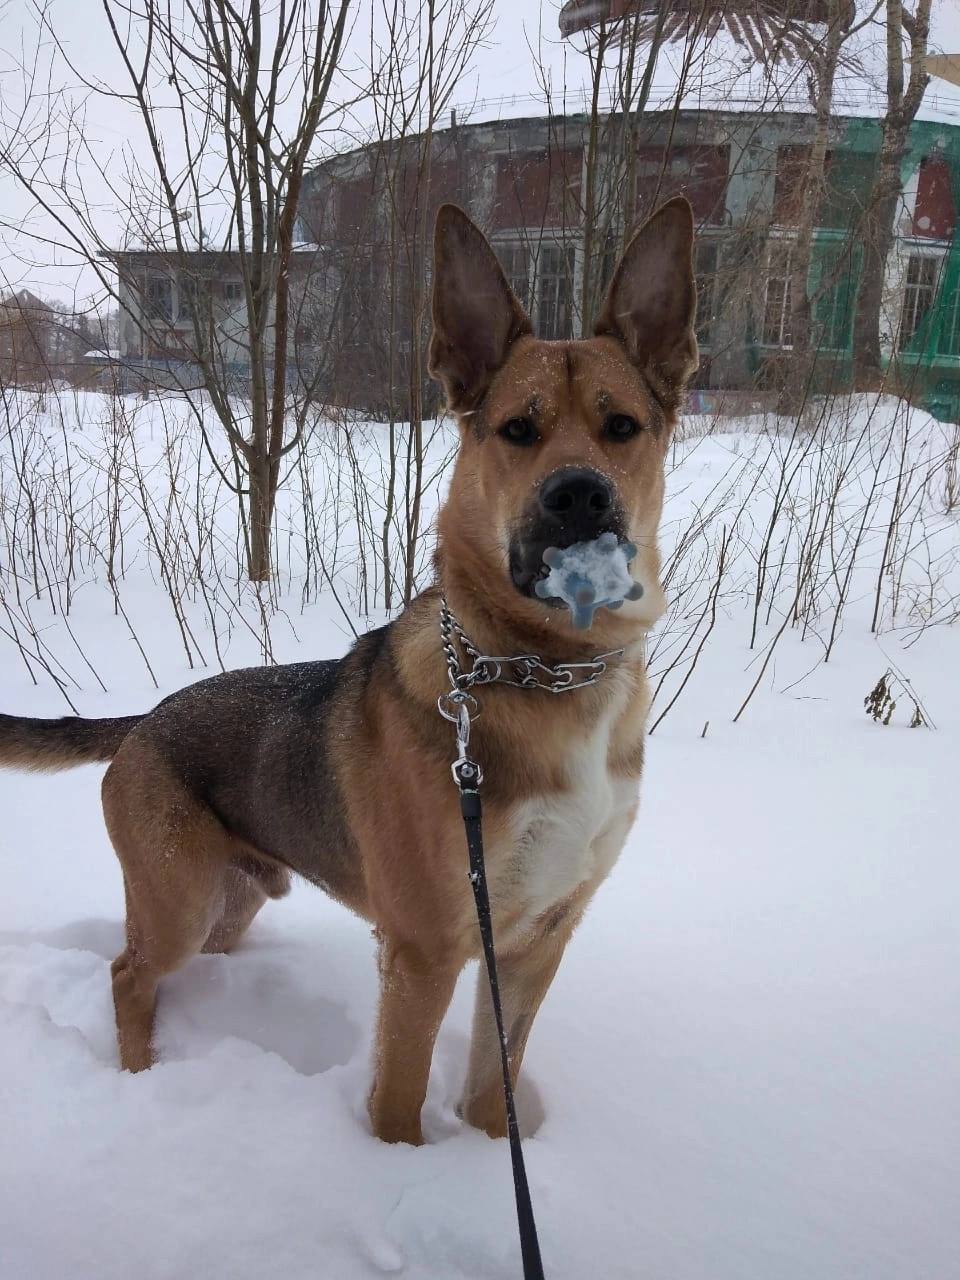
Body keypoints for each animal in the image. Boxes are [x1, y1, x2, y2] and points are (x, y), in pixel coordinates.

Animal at [0, 197, 701, 1141]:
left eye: (621, 425)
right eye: (518, 429)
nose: (579, 496)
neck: (545, 670)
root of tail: (145, 721)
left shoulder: (536, 940)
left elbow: (495, 1083)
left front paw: (490, 1151)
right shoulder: (426, 949)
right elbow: (397, 1098)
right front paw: (399, 1163)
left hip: (234, 895)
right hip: (180, 895)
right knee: (127, 974)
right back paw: (141, 1076)